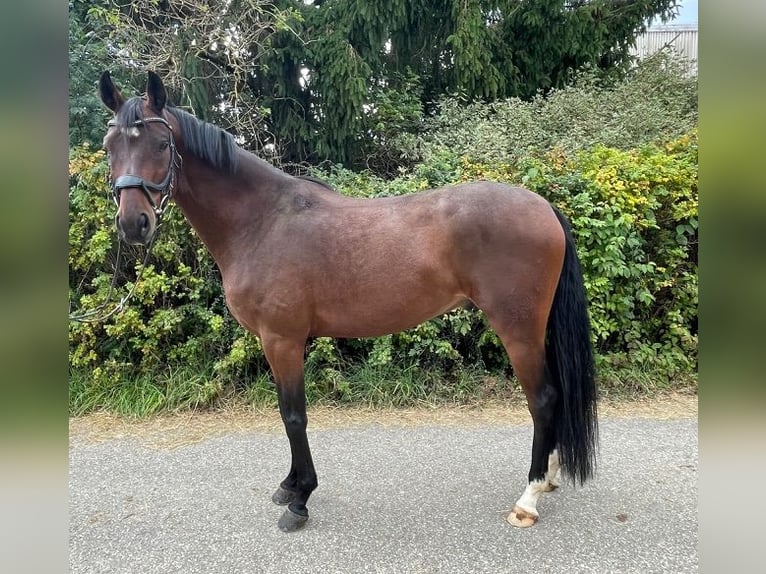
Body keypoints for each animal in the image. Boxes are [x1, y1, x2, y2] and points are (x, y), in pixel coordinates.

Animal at [97, 70, 598, 533]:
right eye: (108, 147)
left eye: (162, 144)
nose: (133, 224)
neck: (262, 221)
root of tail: (543, 206)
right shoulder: (276, 341)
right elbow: (287, 414)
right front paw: (289, 486)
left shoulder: (282, 339)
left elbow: (293, 416)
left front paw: (300, 499)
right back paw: (550, 478)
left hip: (518, 329)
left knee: (543, 399)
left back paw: (529, 497)